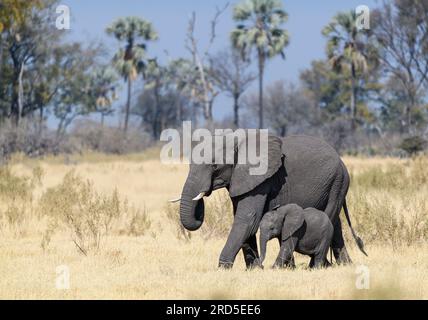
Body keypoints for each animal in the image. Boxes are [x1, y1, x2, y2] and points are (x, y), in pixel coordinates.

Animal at [173, 132, 364, 268]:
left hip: (337, 182)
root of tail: (341, 160)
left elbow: (248, 219)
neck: (236, 139)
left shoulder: (260, 179)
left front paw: (223, 268)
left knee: (330, 215)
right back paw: (341, 265)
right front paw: (255, 269)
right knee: (335, 222)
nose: (203, 194)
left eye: (214, 166)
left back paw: (317, 265)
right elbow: (245, 219)